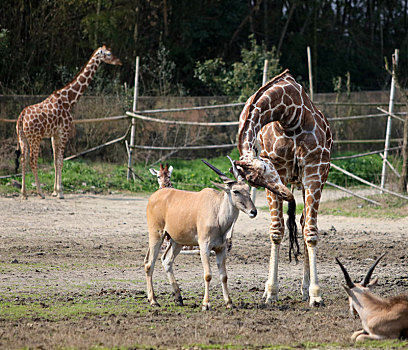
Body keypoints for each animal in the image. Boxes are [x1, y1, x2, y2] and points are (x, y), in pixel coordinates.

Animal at [16, 45, 121, 200]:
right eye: (109, 54)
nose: (119, 62)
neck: (70, 99)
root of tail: (21, 117)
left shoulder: (54, 135)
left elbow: (55, 161)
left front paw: (55, 191)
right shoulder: (64, 132)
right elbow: (61, 160)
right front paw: (60, 192)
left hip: (22, 137)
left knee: (23, 159)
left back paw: (24, 194)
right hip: (35, 137)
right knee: (32, 161)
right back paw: (40, 193)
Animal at [145, 157, 256, 310]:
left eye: (248, 190)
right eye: (235, 191)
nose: (253, 211)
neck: (217, 212)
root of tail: (153, 197)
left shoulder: (221, 249)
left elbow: (224, 276)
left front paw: (229, 303)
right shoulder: (204, 246)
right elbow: (208, 275)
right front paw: (205, 304)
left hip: (176, 241)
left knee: (166, 260)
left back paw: (178, 298)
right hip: (156, 235)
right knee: (149, 264)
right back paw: (153, 300)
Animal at [234, 69, 334, 304]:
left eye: (265, 171)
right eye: (255, 182)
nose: (286, 194)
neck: (289, 116)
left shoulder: (314, 172)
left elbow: (310, 232)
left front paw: (315, 293)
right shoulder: (281, 171)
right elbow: (277, 230)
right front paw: (271, 291)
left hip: (313, 179)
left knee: (305, 223)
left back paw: (305, 287)